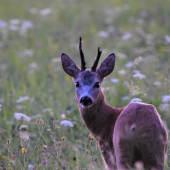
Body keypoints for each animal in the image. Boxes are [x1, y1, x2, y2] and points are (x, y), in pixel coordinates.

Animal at [60, 37, 167, 170]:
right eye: (77, 83)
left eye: (97, 83)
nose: (85, 99)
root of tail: (136, 126)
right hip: (157, 153)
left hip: (121, 151)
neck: (105, 122)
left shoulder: (108, 156)